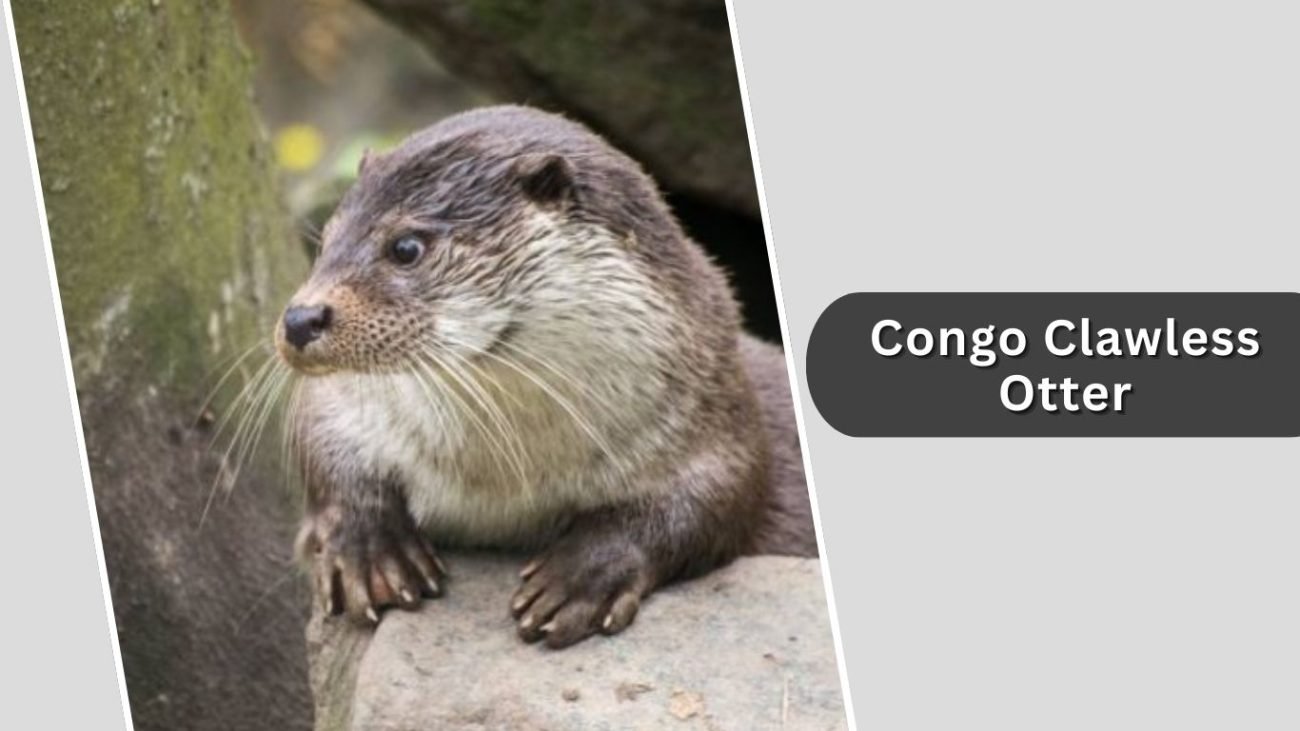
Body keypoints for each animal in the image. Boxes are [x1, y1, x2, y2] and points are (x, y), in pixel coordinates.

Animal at [278, 105, 815, 649]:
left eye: (406, 247)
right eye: (326, 240)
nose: (300, 319)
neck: (501, 486)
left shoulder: (713, 406)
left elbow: (717, 499)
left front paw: (582, 577)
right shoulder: (341, 401)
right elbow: (320, 440)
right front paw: (370, 548)